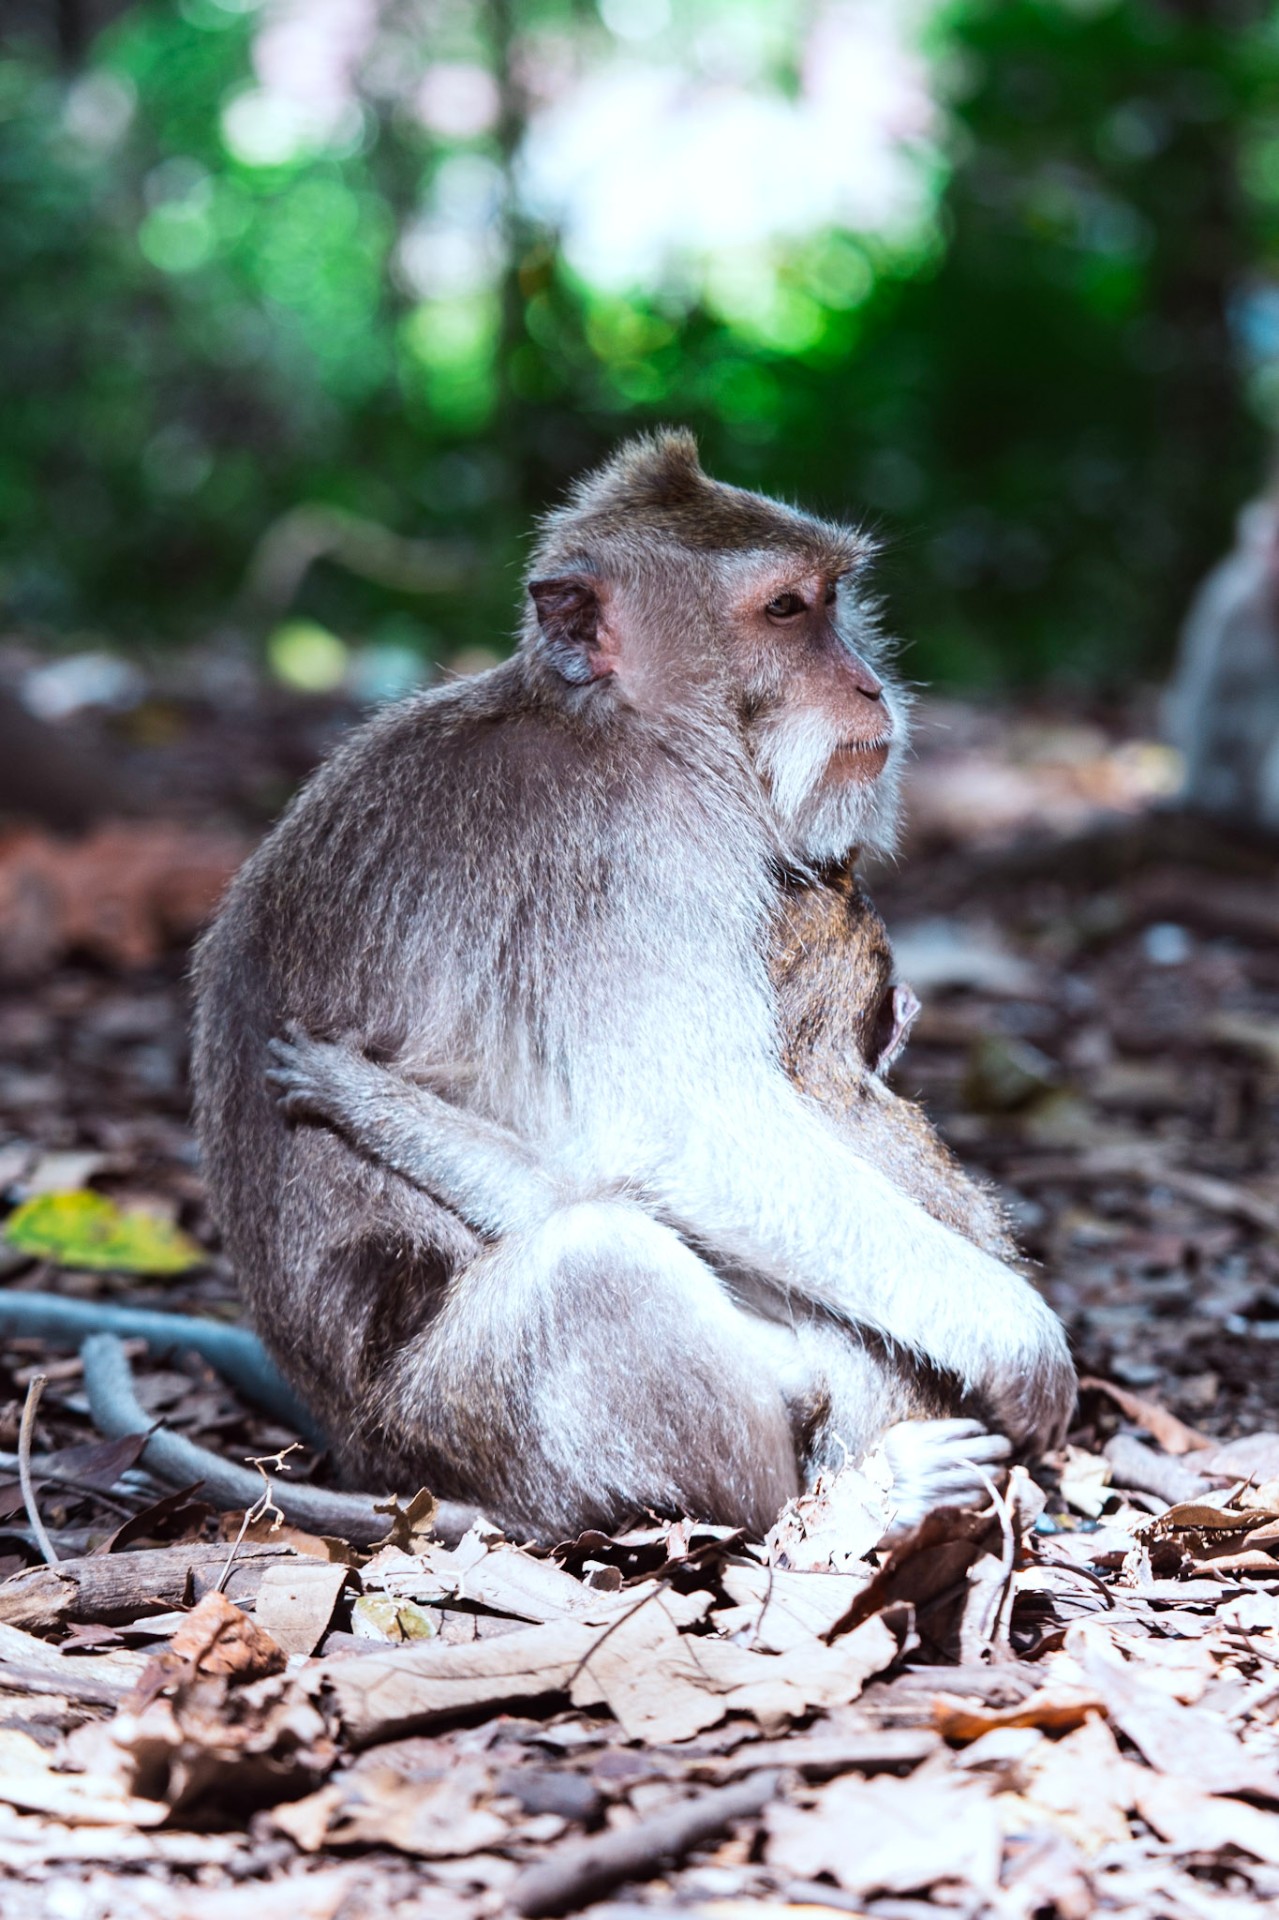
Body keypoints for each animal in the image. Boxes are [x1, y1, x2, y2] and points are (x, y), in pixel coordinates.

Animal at [192, 430, 1074, 1545]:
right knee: (597, 1266)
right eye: (786, 609)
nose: (870, 686)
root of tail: (371, 1465)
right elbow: (684, 1127)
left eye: (832, 601)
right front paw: (1013, 1334)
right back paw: (823, 1511)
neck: (610, 719)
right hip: (459, 1433)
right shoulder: (644, 848)